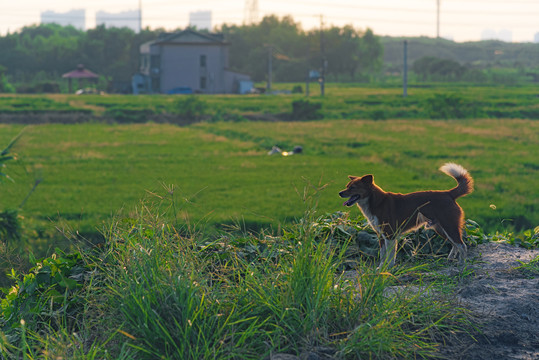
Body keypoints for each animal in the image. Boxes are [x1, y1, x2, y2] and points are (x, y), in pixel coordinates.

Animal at [340, 164, 474, 268]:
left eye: (353, 187)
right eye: (347, 186)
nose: (340, 193)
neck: (375, 202)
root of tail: (449, 194)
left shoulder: (390, 235)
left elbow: (390, 256)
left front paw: (388, 268)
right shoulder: (381, 236)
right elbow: (383, 255)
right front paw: (380, 268)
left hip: (449, 226)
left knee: (462, 245)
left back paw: (462, 263)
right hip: (441, 228)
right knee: (455, 244)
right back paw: (450, 260)